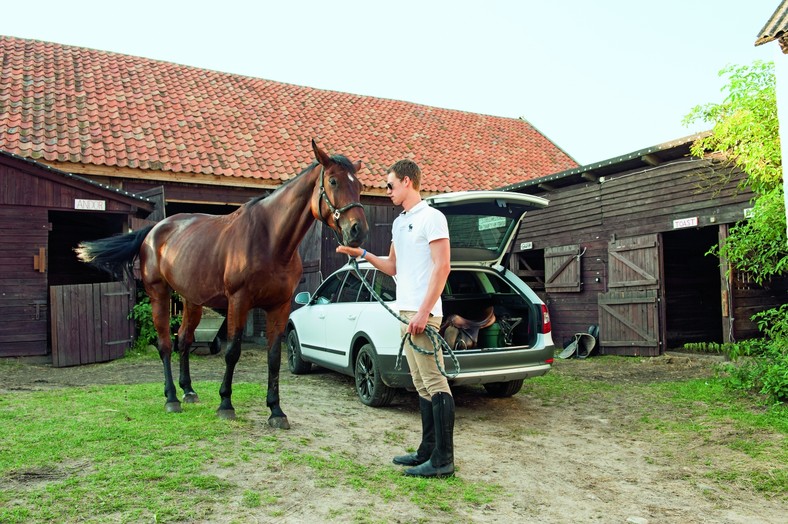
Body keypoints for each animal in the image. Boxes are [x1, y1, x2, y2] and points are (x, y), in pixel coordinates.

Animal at [75, 141, 368, 428]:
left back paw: (189, 391)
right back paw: (172, 398)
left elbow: (274, 357)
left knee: (183, 339)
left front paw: (276, 411)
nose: (358, 230)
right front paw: (225, 403)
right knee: (165, 344)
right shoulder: (238, 301)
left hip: (192, 300)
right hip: (159, 294)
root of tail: (153, 230)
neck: (270, 241)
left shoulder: (280, 305)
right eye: (333, 181)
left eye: (359, 186)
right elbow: (232, 351)